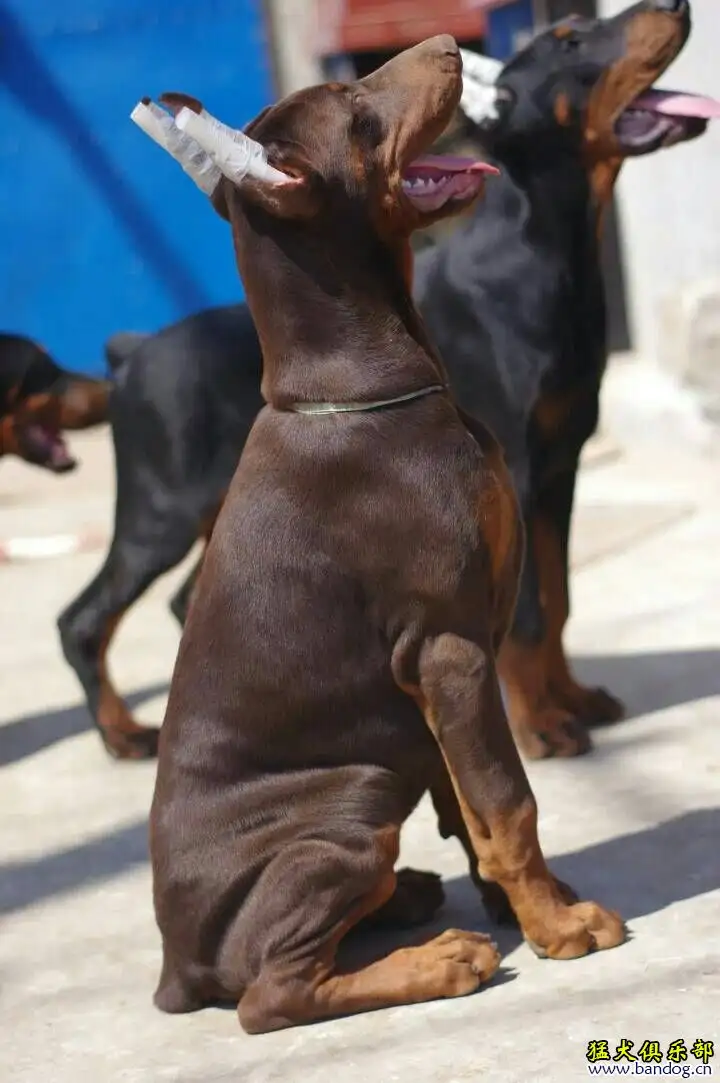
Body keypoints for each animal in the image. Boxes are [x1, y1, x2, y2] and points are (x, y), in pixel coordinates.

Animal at [140, 33, 623, 1031]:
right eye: (359, 115)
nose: (446, 42)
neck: (364, 388)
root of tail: (175, 965)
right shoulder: (449, 650)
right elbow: (508, 802)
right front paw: (559, 927)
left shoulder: (444, 673)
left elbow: (471, 805)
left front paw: (528, 902)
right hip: (352, 795)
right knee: (270, 995)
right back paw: (438, 959)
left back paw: (408, 898)